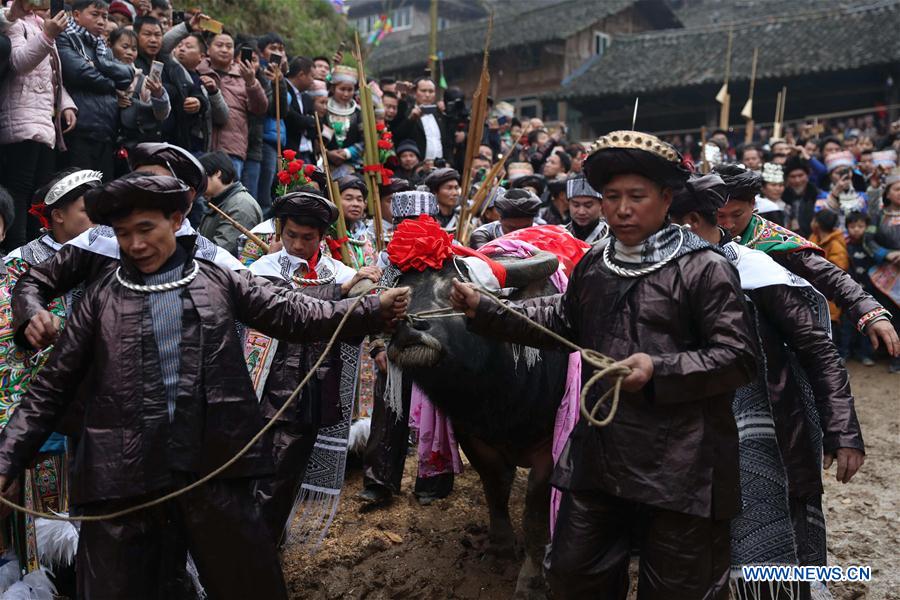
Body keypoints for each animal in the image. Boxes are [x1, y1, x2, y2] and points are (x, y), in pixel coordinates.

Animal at [388, 251, 568, 596]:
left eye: (457, 292)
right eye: (402, 295)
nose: (408, 328)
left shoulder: (553, 446)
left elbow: (536, 513)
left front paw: (531, 581)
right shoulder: (471, 433)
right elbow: (495, 485)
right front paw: (500, 547)